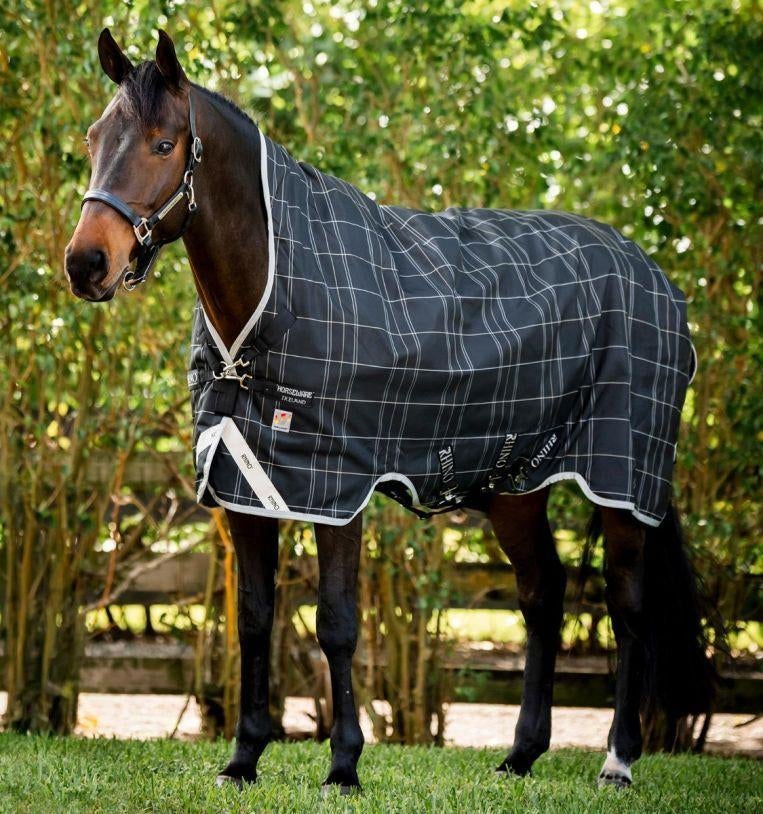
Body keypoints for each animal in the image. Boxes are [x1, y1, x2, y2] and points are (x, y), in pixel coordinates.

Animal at [65, 29, 714, 792]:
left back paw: (617, 759)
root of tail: (655, 276)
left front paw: (343, 765)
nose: (85, 264)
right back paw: (521, 754)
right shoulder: (243, 482)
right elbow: (254, 619)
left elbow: (337, 623)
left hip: (622, 480)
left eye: (163, 144)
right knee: (542, 595)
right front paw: (243, 758)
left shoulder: (339, 488)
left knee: (627, 606)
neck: (274, 291)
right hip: (516, 482)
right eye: (94, 136)